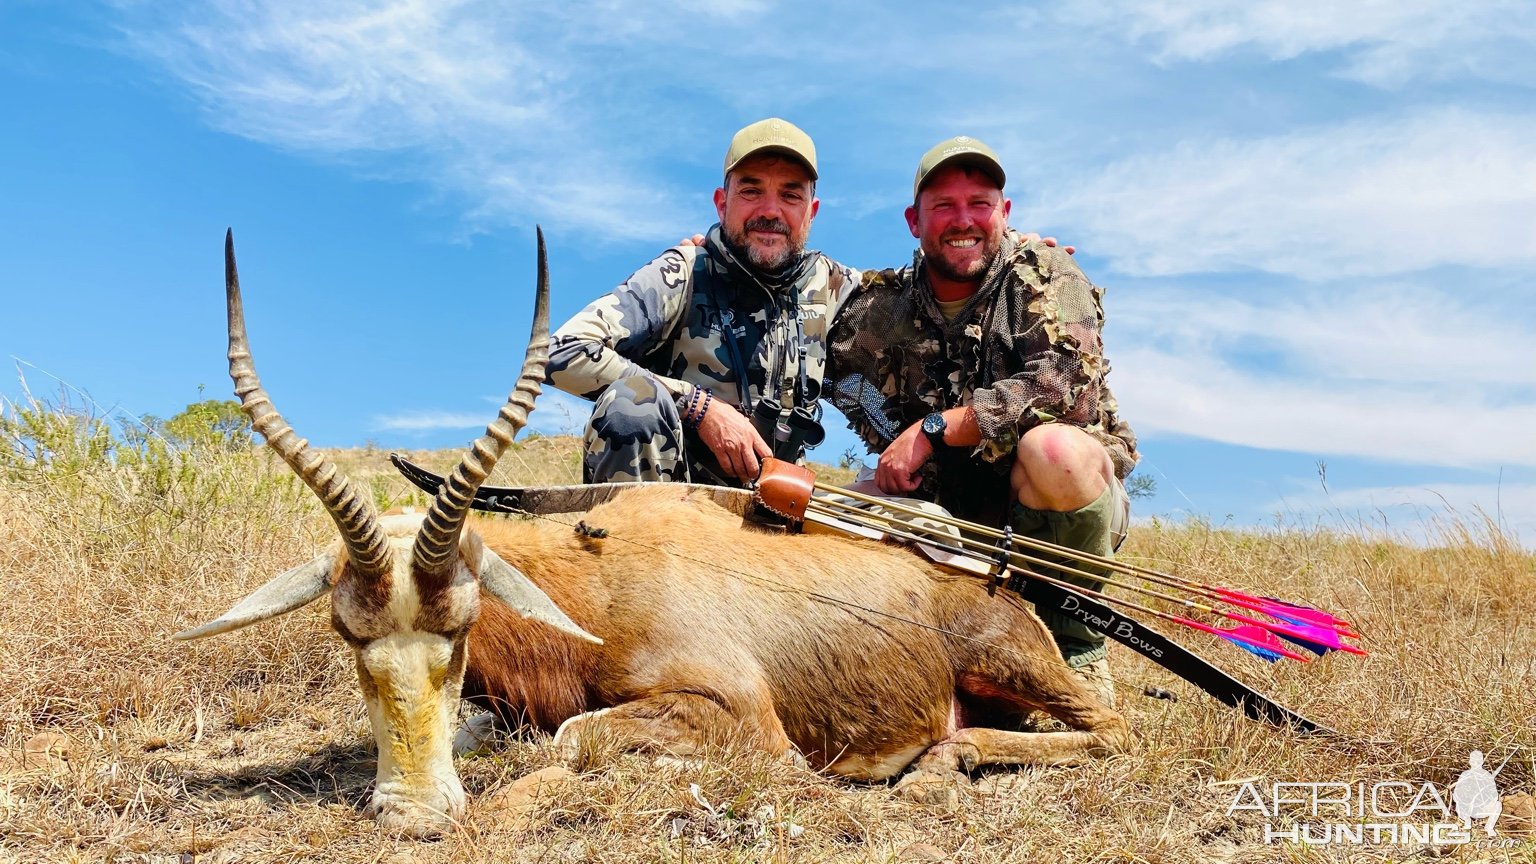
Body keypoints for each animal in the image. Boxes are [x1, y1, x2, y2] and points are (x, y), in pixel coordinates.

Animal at [179, 227, 1130, 836]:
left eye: (461, 626)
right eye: (349, 634)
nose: (413, 816)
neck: (600, 579)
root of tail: (988, 580)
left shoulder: (740, 714)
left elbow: (578, 739)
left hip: (1009, 663)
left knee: (1108, 731)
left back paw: (937, 769)